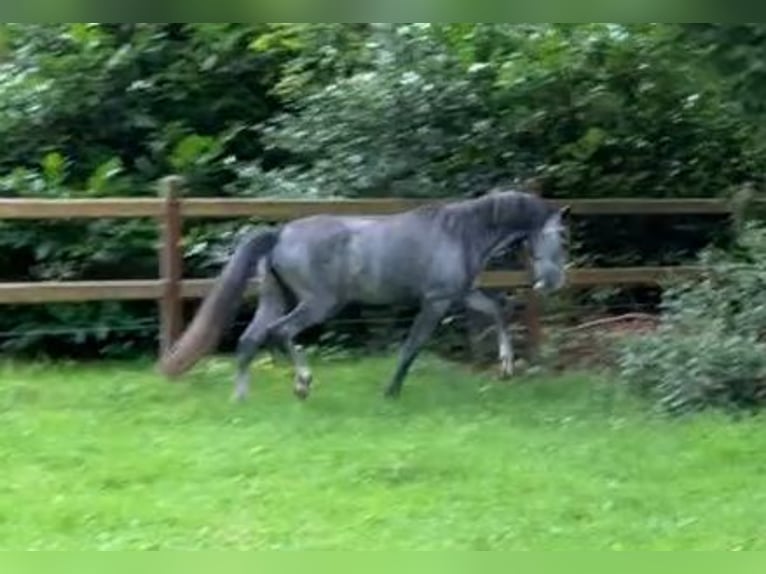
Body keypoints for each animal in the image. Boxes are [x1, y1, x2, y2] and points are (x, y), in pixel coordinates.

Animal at [159, 189, 568, 400]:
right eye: (562, 237)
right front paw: (391, 390)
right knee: (281, 333)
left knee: (250, 339)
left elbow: (499, 309)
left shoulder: (460, 294)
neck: (459, 233)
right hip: (318, 304)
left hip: (277, 298)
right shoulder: (436, 301)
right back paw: (302, 384)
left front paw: (507, 366)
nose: (552, 282)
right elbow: (412, 345)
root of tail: (280, 234)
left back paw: (242, 398)